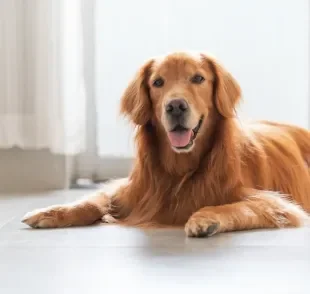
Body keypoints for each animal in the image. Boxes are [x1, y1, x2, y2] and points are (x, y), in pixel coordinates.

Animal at [23, 52, 310, 237]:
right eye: (158, 82)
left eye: (198, 78)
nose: (176, 106)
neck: (180, 169)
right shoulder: (131, 190)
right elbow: (93, 200)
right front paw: (52, 212)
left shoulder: (279, 204)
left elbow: (238, 206)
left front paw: (205, 218)